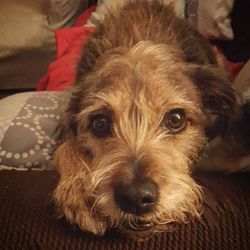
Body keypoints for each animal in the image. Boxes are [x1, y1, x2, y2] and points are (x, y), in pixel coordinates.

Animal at [52, 0, 238, 240]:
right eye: (99, 124)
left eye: (176, 119)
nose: (136, 198)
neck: (136, 37)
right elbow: (64, 146)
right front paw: (79, 190)